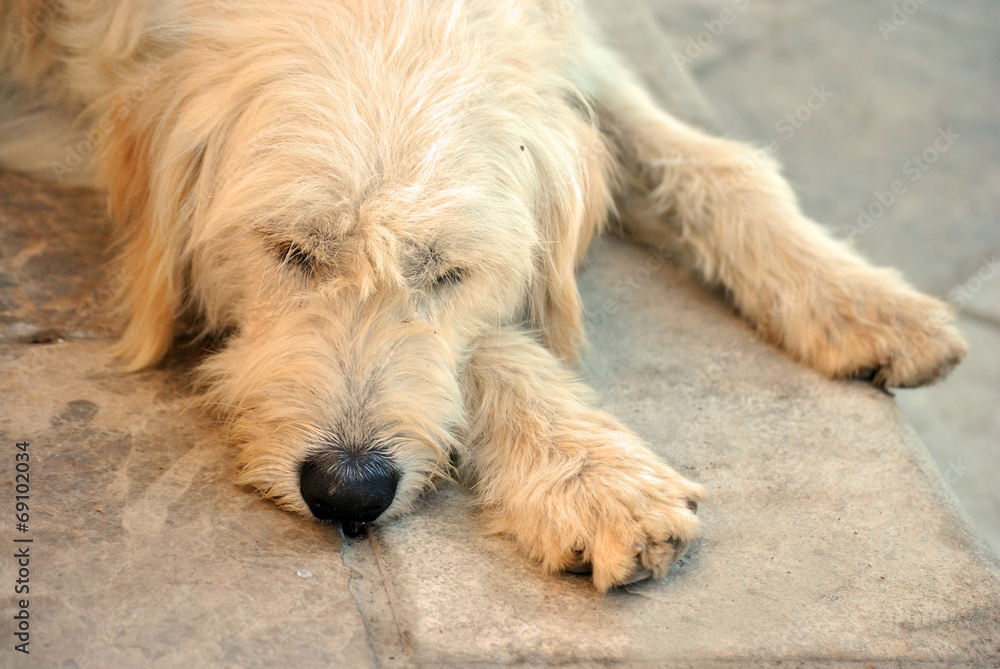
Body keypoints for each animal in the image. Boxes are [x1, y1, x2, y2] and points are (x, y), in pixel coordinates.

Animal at [1, 0, 968, 588]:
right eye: (291, 251)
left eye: (448, 271)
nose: (349, 491)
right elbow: (494, 344)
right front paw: (587, 474)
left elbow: (708, 161)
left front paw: (853, 293)